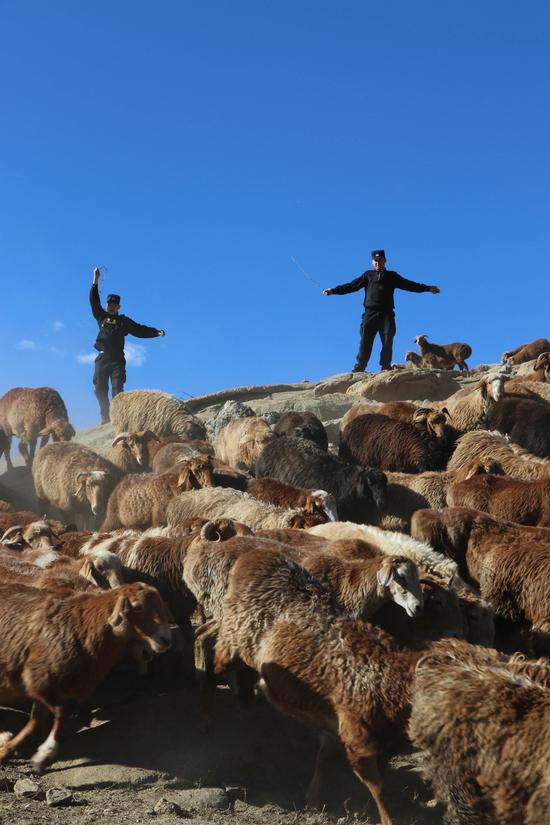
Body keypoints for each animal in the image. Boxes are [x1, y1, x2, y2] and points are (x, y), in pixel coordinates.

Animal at [0, 584, 172, 768]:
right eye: (137, 607)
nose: (166, 639)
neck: (83, 626)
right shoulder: (40, 679)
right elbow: (62, 710)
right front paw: (46, 752)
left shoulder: (49, 687)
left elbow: (36, 720)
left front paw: (8, 752)